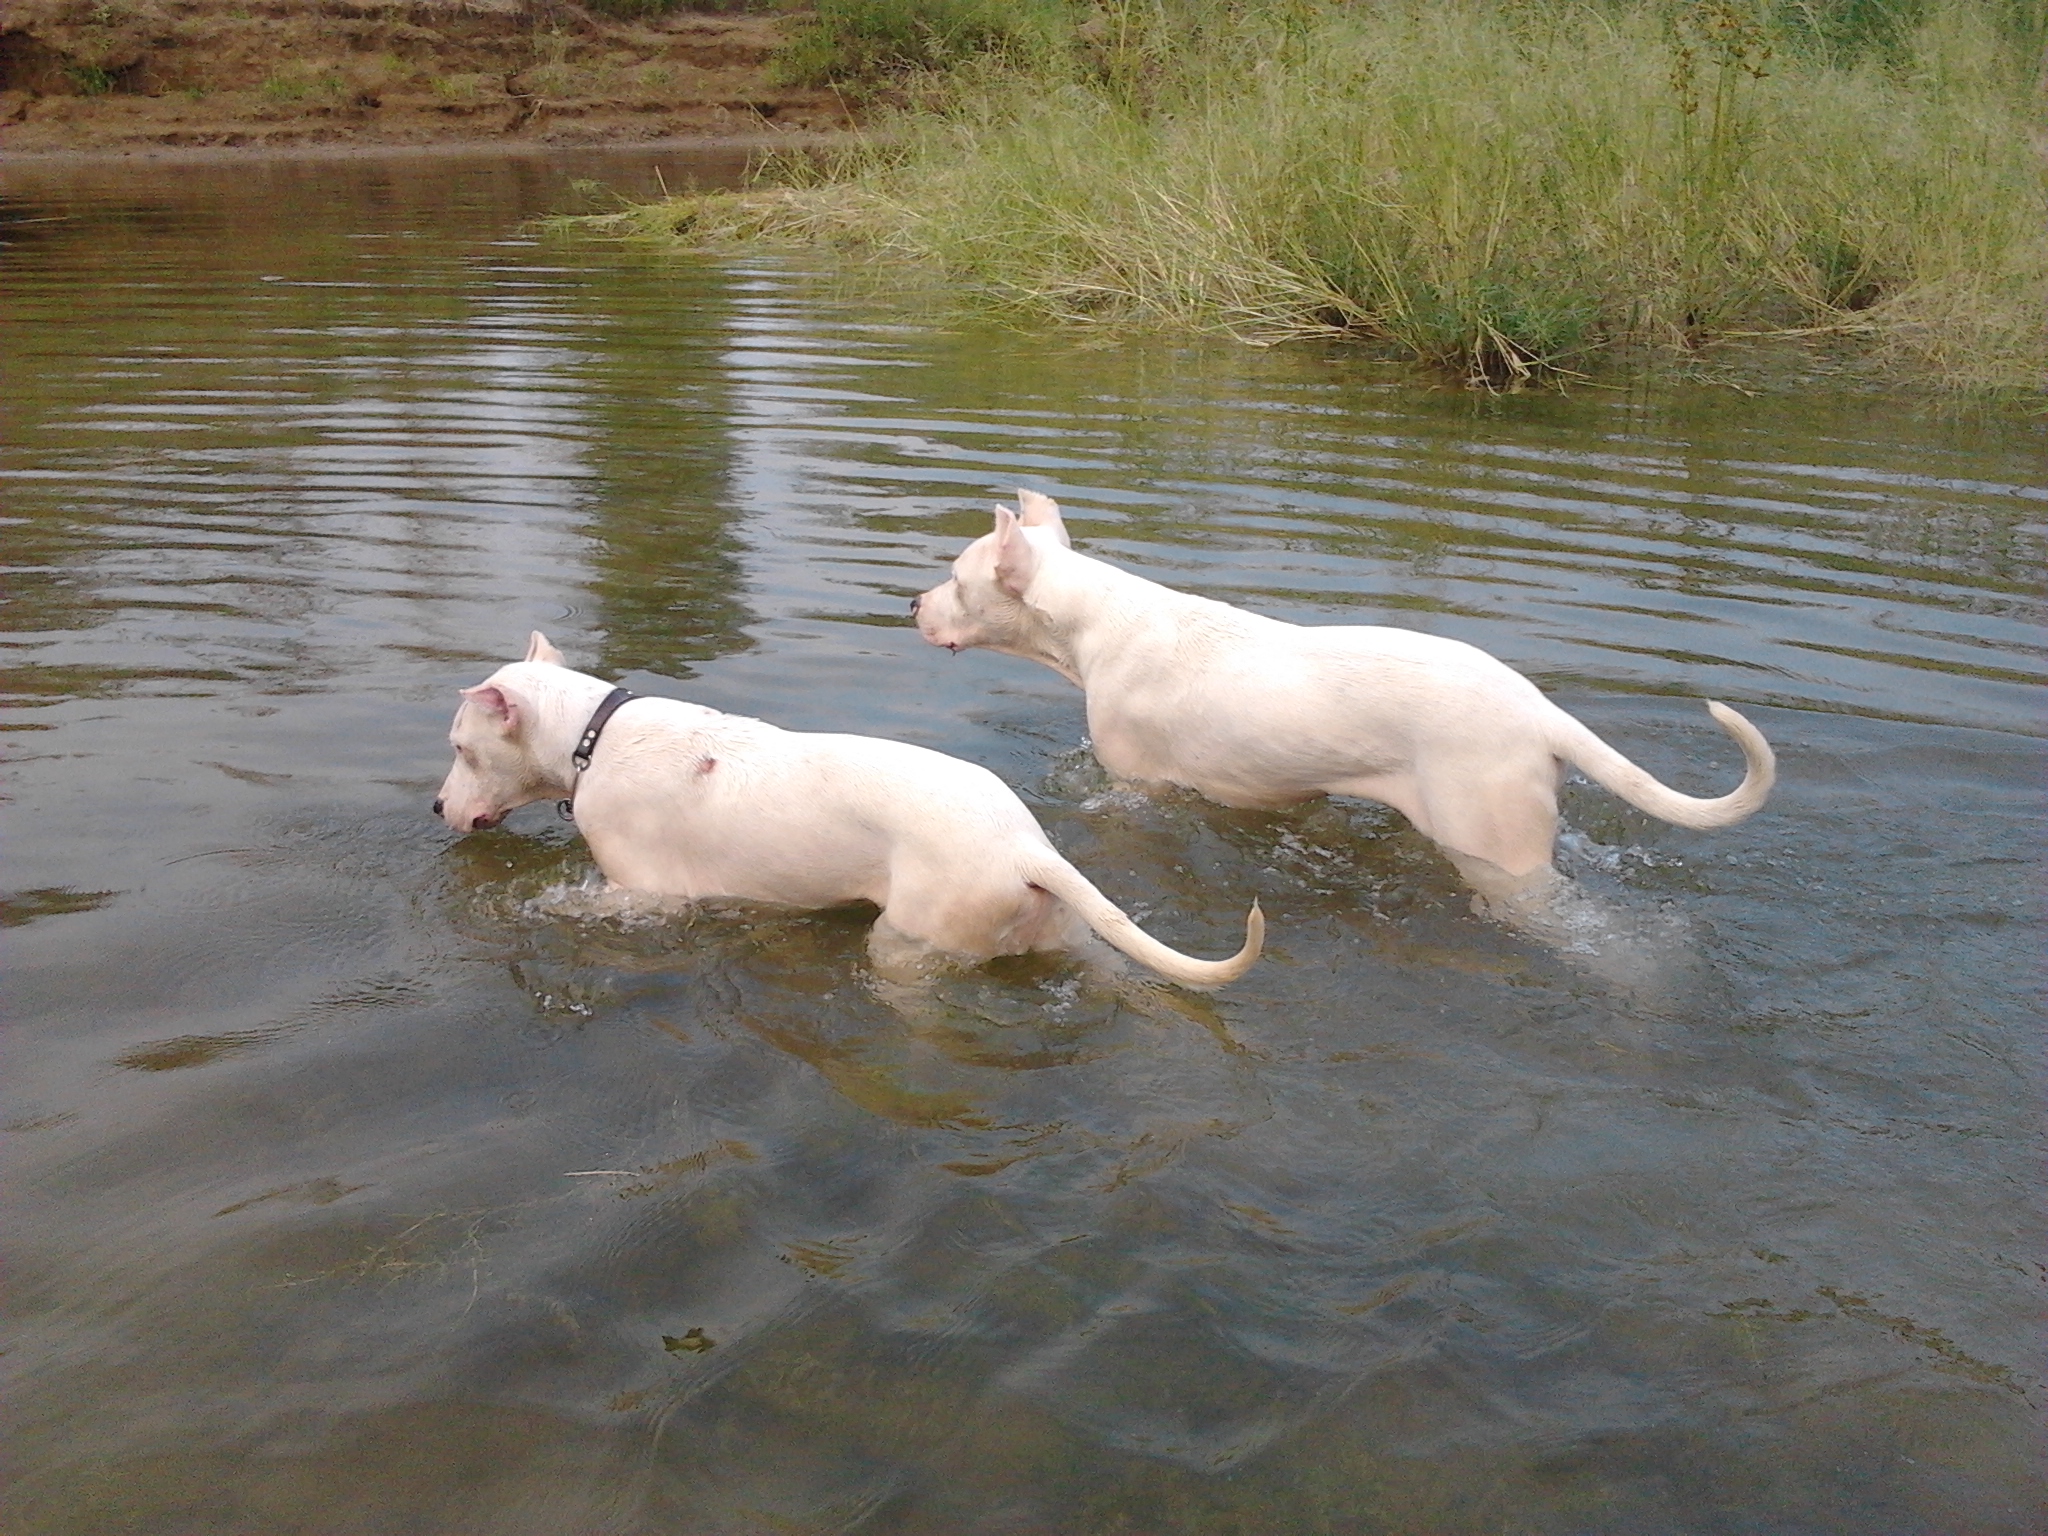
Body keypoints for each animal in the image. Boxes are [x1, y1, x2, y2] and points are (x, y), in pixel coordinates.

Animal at [434, 630, 1261, 991]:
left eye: (461, 746)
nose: (438, 805)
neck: (593, 735)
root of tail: (1026, 849)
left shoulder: (645, 896)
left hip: (909, 944)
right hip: (1069, 932)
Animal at [917, 493, 1777, 909]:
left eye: (956, 580)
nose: (912, 606)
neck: (1101, 620)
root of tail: (1539, 712)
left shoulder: (1137, 785)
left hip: (1498, 851)